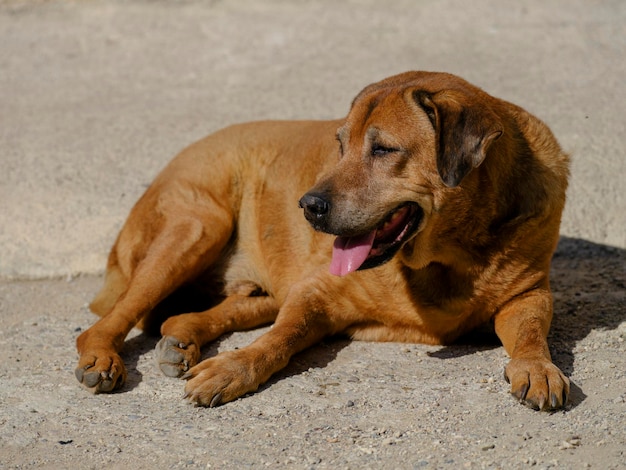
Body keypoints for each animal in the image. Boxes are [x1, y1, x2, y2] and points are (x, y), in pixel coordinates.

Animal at [75, 70, 568, 412]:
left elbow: (530, 334)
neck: (449, 256)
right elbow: (278, 339)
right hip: (200, 225)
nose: (307, 205)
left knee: (205, 311)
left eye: (383, 149)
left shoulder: (530, 294)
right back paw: (102, 357)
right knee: (105, 323)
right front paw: (234, 368)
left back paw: (183, 335)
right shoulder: (316, 291)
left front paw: (537, 367)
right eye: (340, 145)